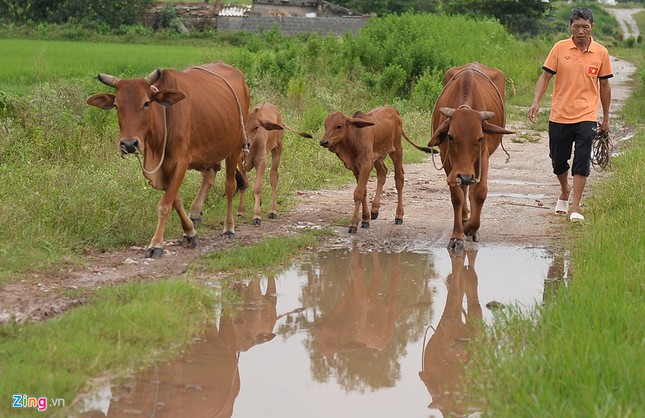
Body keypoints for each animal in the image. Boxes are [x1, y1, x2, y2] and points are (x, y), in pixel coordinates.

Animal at [89, 60, 250, 258]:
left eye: (146, 103)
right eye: (117, 105)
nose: (129, 144)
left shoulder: (181, 162)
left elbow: (165, 205)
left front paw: (156, 244)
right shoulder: (163, 168)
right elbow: (175, 201)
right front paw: (190, 232)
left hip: (235, 147)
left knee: (230, 186)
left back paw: (228, 228)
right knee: (209, 176)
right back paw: (195, 213)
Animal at [428, 61, 512, 251]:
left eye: (479, 138)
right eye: (451, 137)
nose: (465, 176)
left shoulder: (483, 158)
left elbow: (480, 193)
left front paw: (471, 228)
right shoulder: (448, 161)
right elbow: (457, 197)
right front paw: (457, 235)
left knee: (471, 189)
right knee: (464, 190)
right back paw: (464, 218)